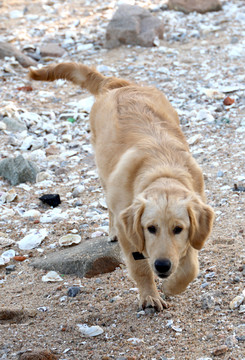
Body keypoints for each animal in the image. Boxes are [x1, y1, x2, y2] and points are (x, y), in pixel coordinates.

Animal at [29, 63, 214, 310]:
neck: (162, 170)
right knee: (109, 207)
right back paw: (112, 232)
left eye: (178, 229)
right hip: (103, 171)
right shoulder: (130, 231)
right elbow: (140, 267)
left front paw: (172, 286)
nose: (162, 265)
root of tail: (115, 84)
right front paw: (150, 296)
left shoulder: (197, 217)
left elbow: (191, 265)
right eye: (150, 228)